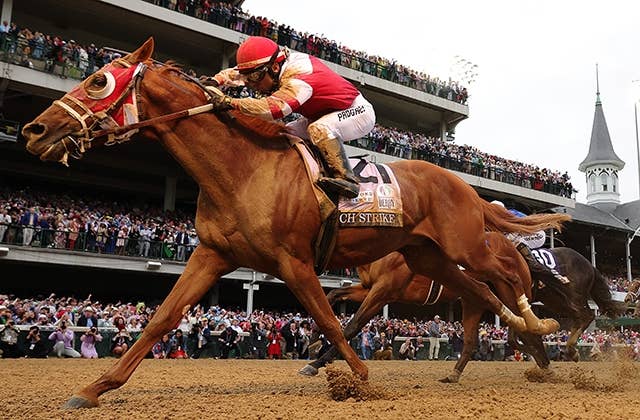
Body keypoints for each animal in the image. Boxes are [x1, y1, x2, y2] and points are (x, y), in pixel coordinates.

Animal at [21, 38, 570, 408]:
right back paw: (522, 340)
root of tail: (465, 186)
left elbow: (332, 318)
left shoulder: (295, 262)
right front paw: (95, 388)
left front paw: (357, 379)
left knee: (507, 275)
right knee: (478, 293)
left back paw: (539, 325)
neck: (243, 168)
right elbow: (162, 318)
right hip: (428, 256)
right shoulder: (213, 254)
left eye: (98, 81)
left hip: (463, 245)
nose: (34, 129)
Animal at [303, 234, 626, 381]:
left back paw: (558, 358)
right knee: (475, 340)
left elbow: (353, 325)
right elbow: (334, 298)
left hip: (534, 294)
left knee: (572, 318)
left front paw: (317, 362)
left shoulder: (384, 291)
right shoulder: (367, 287)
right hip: (476, 298)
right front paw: (315, 339)